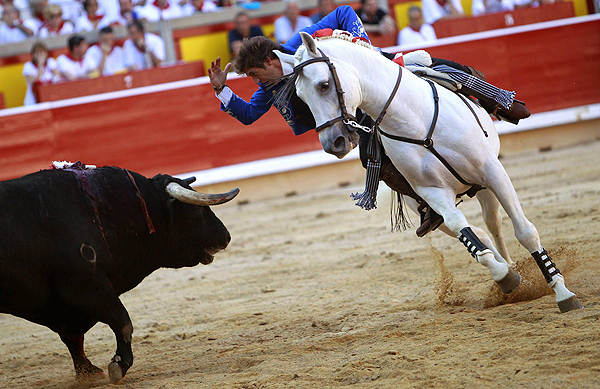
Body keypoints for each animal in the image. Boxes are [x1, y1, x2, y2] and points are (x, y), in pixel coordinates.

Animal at [0, 164, 238, 382]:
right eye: (196, 210)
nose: (225, 236)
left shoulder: (68, 304)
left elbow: (73, 337)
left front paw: (87, 373)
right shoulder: (87, 287)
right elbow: (122, 322)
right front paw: (119, 365)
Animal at [278, 31, 584, 312]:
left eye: (324, 85)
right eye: (300, 97)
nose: (334, 143)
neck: (413, 120)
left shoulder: (492, 171)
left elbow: (525, 231)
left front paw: (563, 293)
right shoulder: (432, 192)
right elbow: (465, 233)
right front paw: (505, 277)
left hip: (485, 185)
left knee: (492, 224)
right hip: (424, 207)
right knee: (478, 232)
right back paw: (510, 271)